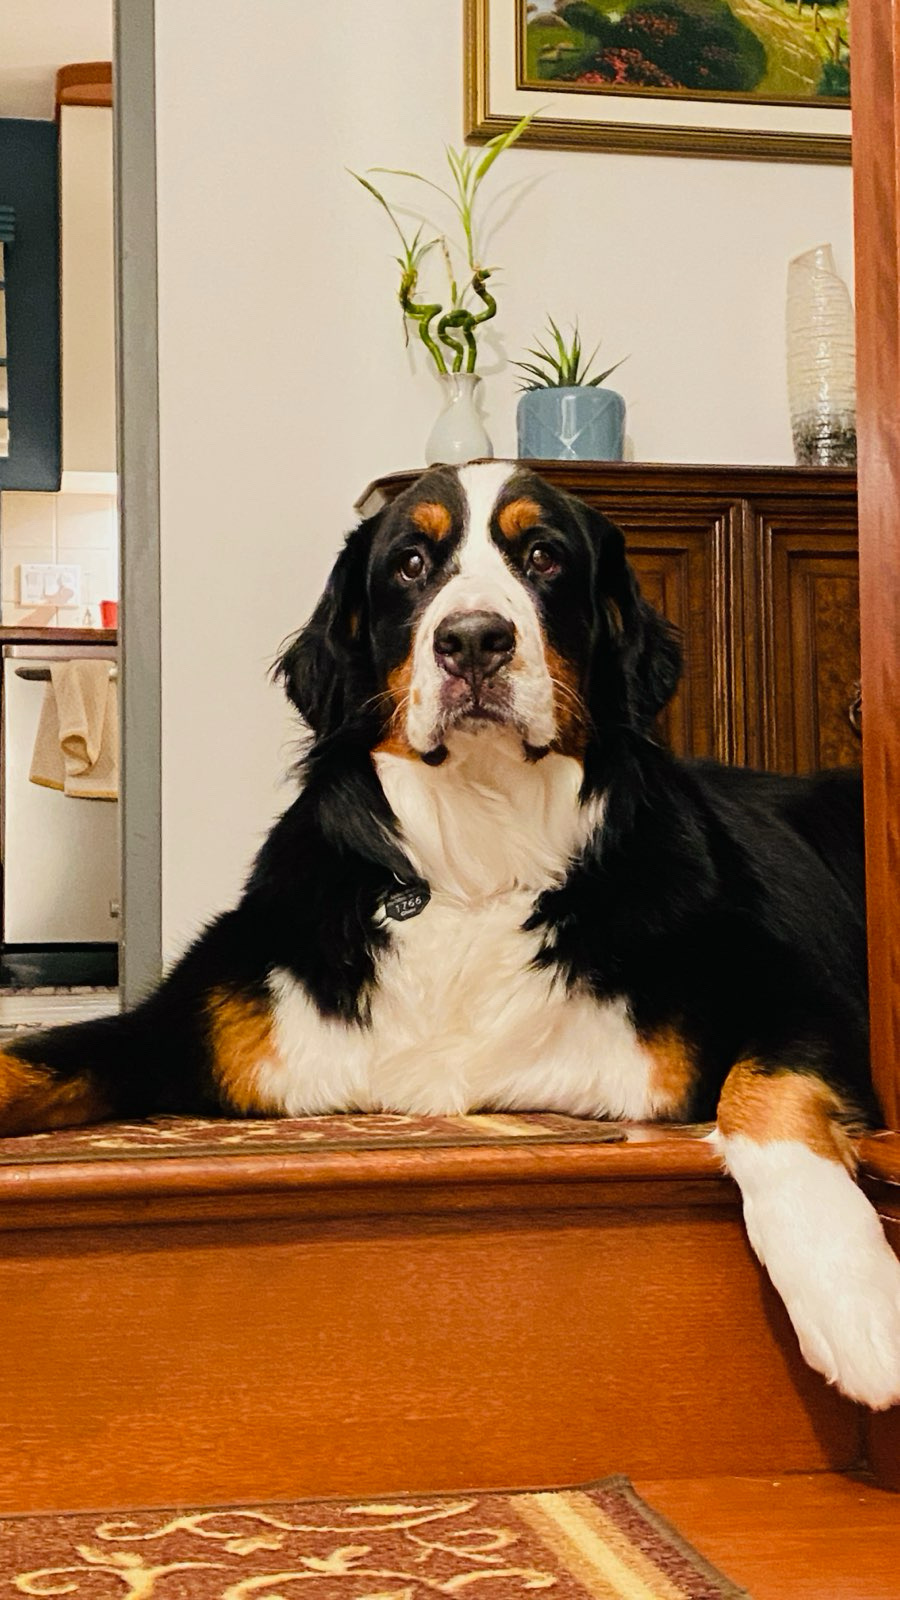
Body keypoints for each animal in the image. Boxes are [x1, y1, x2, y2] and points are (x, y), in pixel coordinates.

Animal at [1, 460, 899, 1409]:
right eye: (410, 563)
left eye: (543, 555)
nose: (473, 641)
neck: (476, 862)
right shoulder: (188, 1018)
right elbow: (28, 1061)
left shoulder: (796, 990)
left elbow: (769, 1088)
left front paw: (854, 1298)